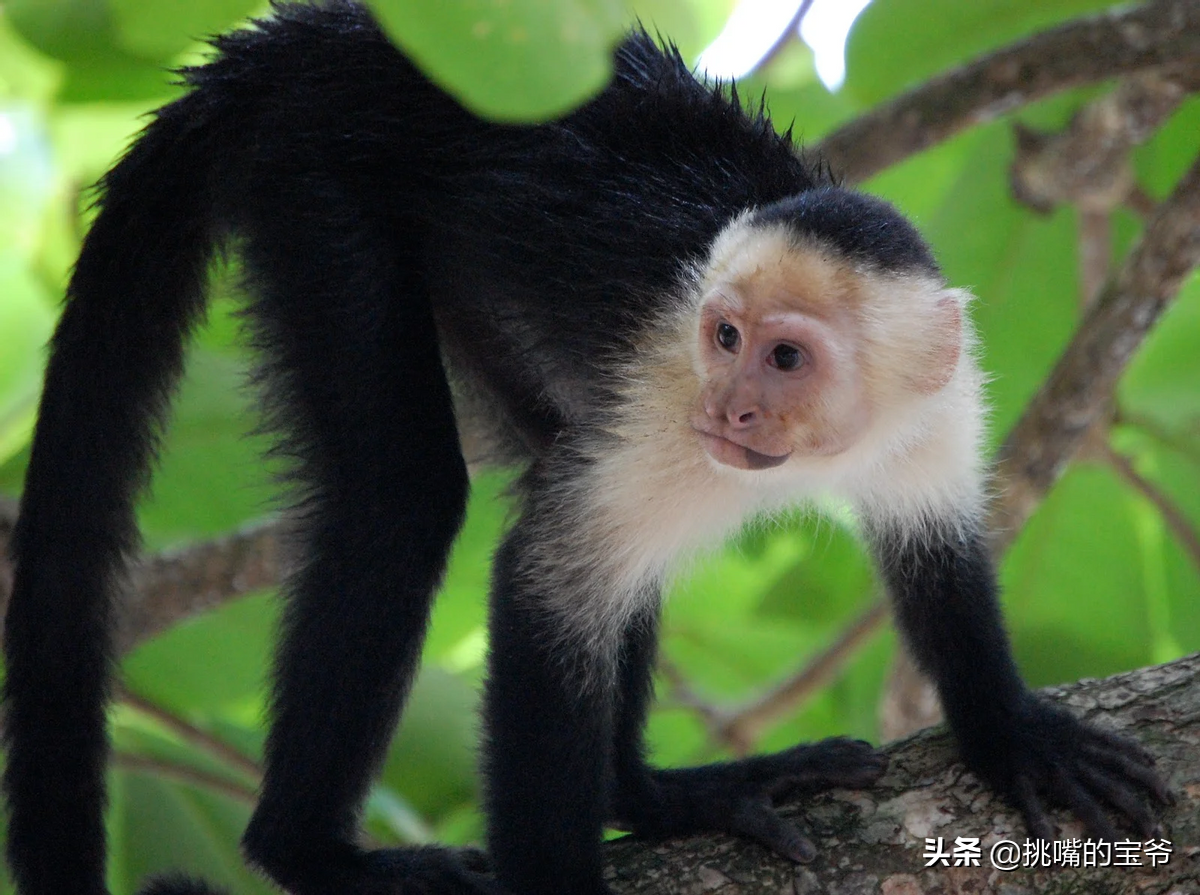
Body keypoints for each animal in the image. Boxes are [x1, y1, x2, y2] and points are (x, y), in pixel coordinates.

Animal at [0, 1, 1166, 892]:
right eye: (724, 338)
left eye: (786, 358)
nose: (731, 411)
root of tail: (314, 34)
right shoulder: (667, 401)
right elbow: (546, 585)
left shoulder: (939, 406)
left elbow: (936, 555)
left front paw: (1007, 728)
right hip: (318, 179)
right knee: (405, 500)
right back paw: (308, 852)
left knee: (553, 464)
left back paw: (653, 797)